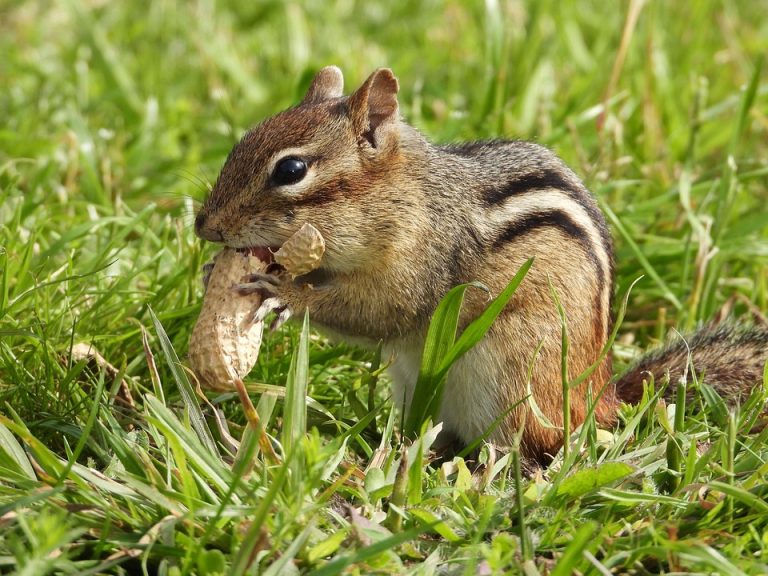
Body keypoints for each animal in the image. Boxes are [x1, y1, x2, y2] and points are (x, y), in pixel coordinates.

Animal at [195, 66, 768, 463]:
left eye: (291, 170)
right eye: (243, 141)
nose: (204, 227)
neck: (404, 195)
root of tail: (600, 401)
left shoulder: (422, 266)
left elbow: (377, 313)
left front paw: (285, 294)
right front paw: (221, 275)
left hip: (512, 371)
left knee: (523, 447)